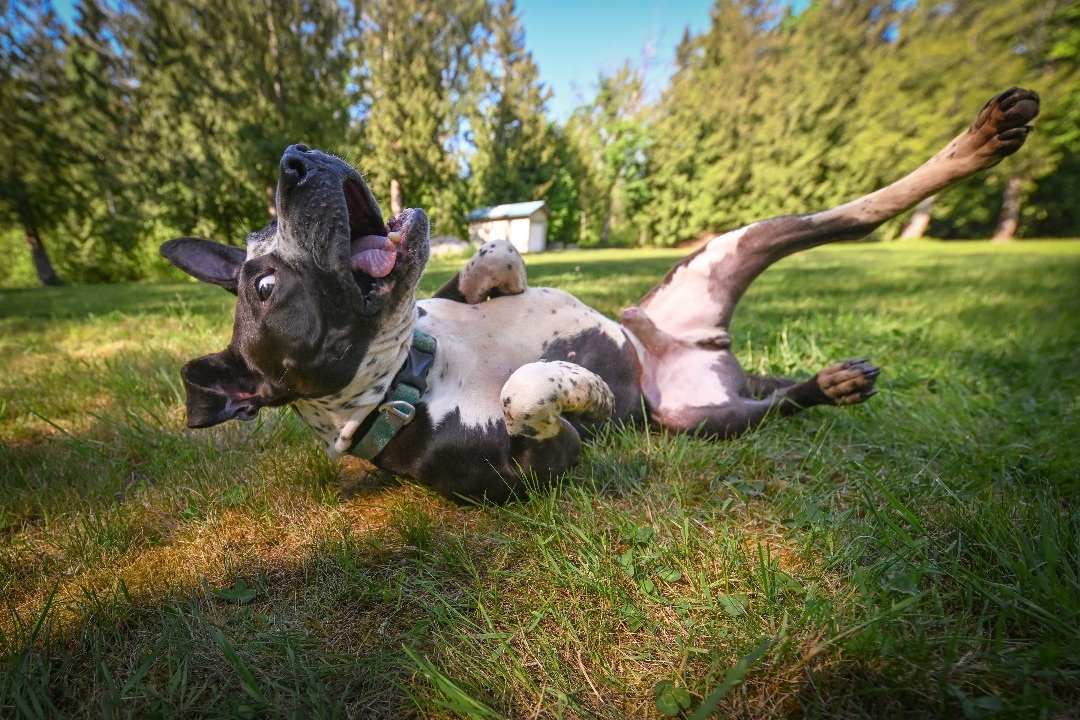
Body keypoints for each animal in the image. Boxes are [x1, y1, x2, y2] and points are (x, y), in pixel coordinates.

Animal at [159, 87, 1036, 500]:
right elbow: (526, 393)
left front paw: (502, 277)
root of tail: (706, 356)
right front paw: (578, 384)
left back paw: (984, 139)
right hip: (706, 419)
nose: (293, 160)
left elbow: (487, 262)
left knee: (860, 211)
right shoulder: (543, 466)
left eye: (261, 241)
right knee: (784, 391)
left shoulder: (451, 288)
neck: (416, 368)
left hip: (735, 245)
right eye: (264, 283)